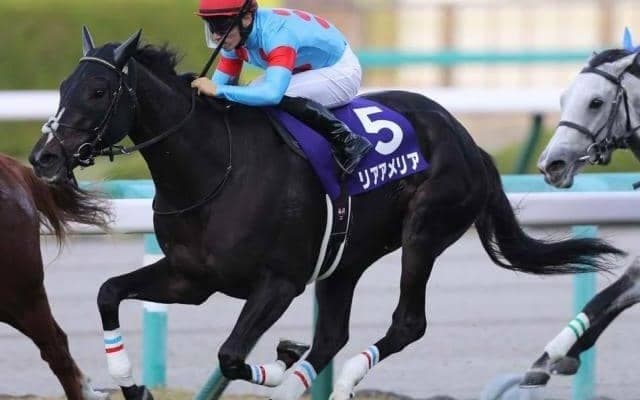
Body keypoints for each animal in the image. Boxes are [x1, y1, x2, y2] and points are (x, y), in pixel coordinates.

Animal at [28, 28, 625, 400]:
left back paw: (336, 377)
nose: (44, 157)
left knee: (406, 323)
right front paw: (130, 383)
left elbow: (230, 354)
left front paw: (282, 359)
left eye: (98, 90)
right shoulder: (188, 277)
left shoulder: (279, 282)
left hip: (424, 230)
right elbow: (108, 293)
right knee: (335, 334)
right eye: (62, 87)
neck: (213, 168)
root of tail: (466, 138)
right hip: (347, 256)